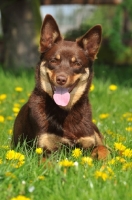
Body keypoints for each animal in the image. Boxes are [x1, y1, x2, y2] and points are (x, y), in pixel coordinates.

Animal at [12, 14, 109, 159]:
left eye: (77, 63)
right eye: (54, 60)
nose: (61, 79)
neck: (64, 111)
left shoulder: (88, 143)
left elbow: (103, 149)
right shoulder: (44, 150)